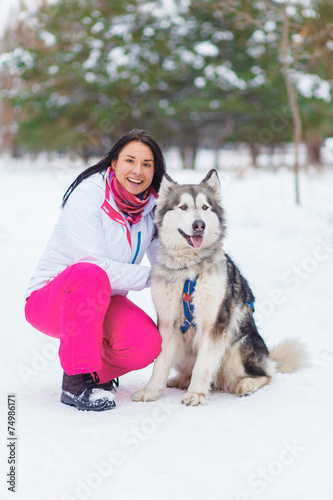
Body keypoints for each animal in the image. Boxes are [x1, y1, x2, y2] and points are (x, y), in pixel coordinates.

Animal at [130, 170, 306, 404]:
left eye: (205, 207)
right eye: (183, 207)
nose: (199, 225)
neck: (189, 270)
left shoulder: (213, 325)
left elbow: (203, 366)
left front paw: (196, 394)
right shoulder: (168, 325)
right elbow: (160, 364)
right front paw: (149, 392)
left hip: (238, 346)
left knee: (266, 374)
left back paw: (247, 384)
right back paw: (179, 380)